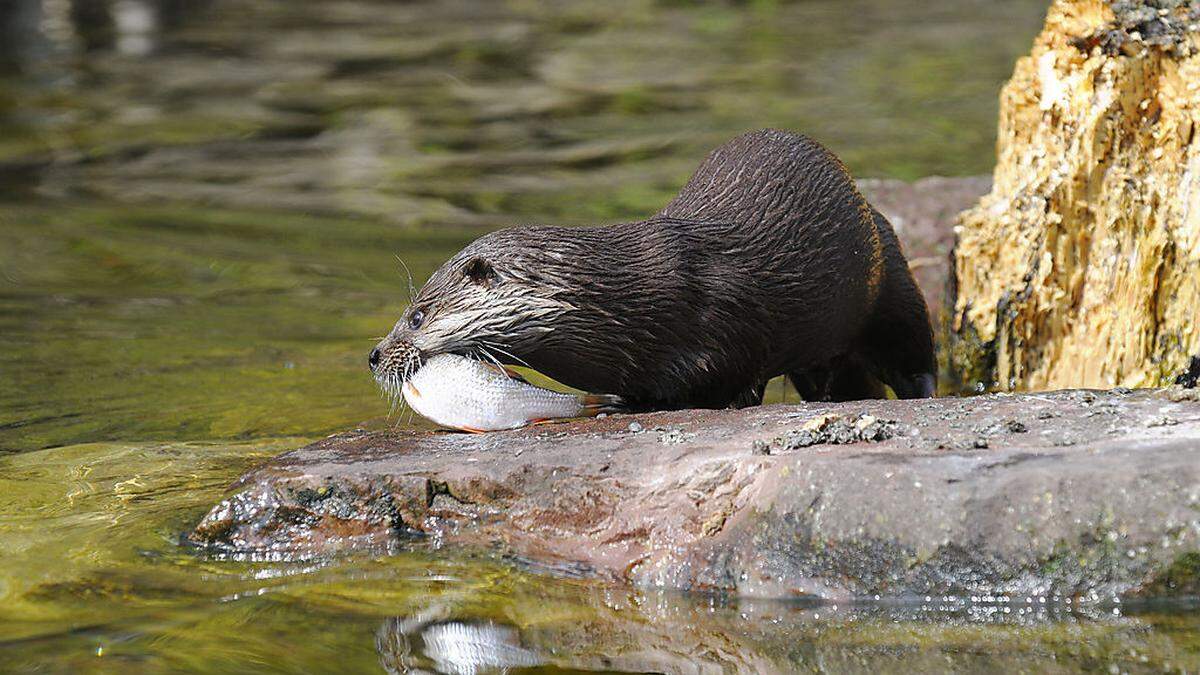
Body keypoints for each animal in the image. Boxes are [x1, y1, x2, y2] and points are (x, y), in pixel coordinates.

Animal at [369, 128, 931, 408]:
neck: (628, 302)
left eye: (416, 315)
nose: (374, 355)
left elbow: (726, 387)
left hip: (889, 276)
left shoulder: (726, 325)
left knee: (913, 348)